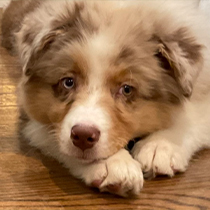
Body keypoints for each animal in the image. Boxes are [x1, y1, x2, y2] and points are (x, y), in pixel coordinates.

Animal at [1, 0, 210, 197]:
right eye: (68, 82)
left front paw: (161, 146)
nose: (83, 136)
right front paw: (113, 164)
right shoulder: (33, 118)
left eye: (126, 89)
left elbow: (193, 116)